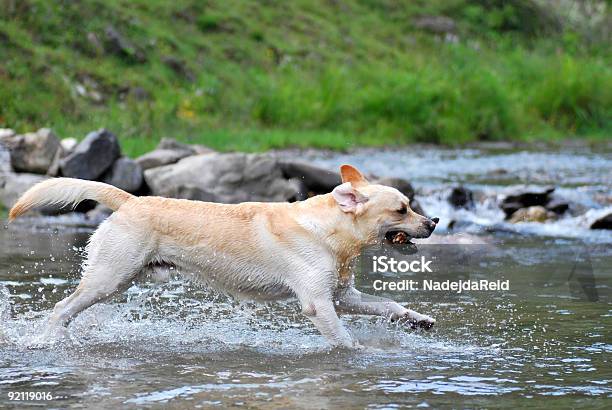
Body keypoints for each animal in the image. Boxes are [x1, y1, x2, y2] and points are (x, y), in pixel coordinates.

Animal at [10, 163, 440, 346]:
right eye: (402, 209)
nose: (434, 221)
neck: (330, 232)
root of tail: (131, 199)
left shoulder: (342, 295)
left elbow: (386, 304)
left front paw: (417, 319)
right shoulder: (318, 302)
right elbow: (343, 339)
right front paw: (358, 353)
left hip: (118, 278)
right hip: (109, 276)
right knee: (61, 308)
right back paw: (46, 339)